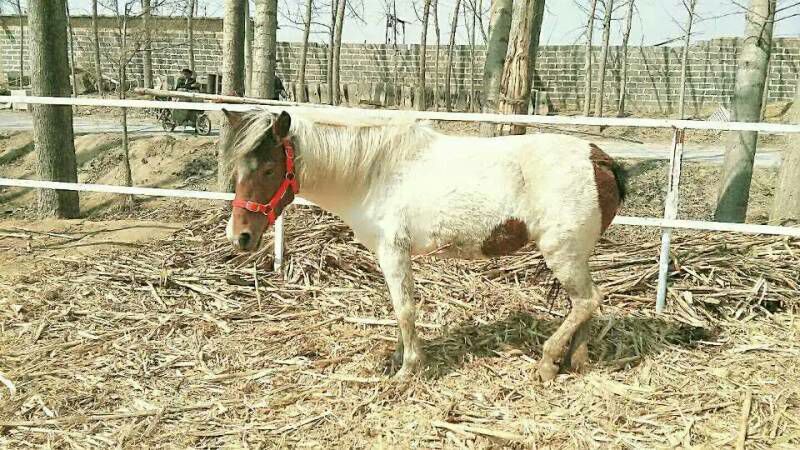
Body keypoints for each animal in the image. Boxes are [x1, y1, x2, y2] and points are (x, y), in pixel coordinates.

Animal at [222, 108, 628, 381]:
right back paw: (578, 360)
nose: (240, 236)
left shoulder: (393, 253)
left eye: (269, 169)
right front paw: (400, 358)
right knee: (588, 302)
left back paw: (547, 362)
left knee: (586, 300)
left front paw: (408, 368)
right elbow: (399, 309)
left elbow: (405, 310)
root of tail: (600, 159)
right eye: (238, 170)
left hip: (563, 252)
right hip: (576, 254)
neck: (376, 173)